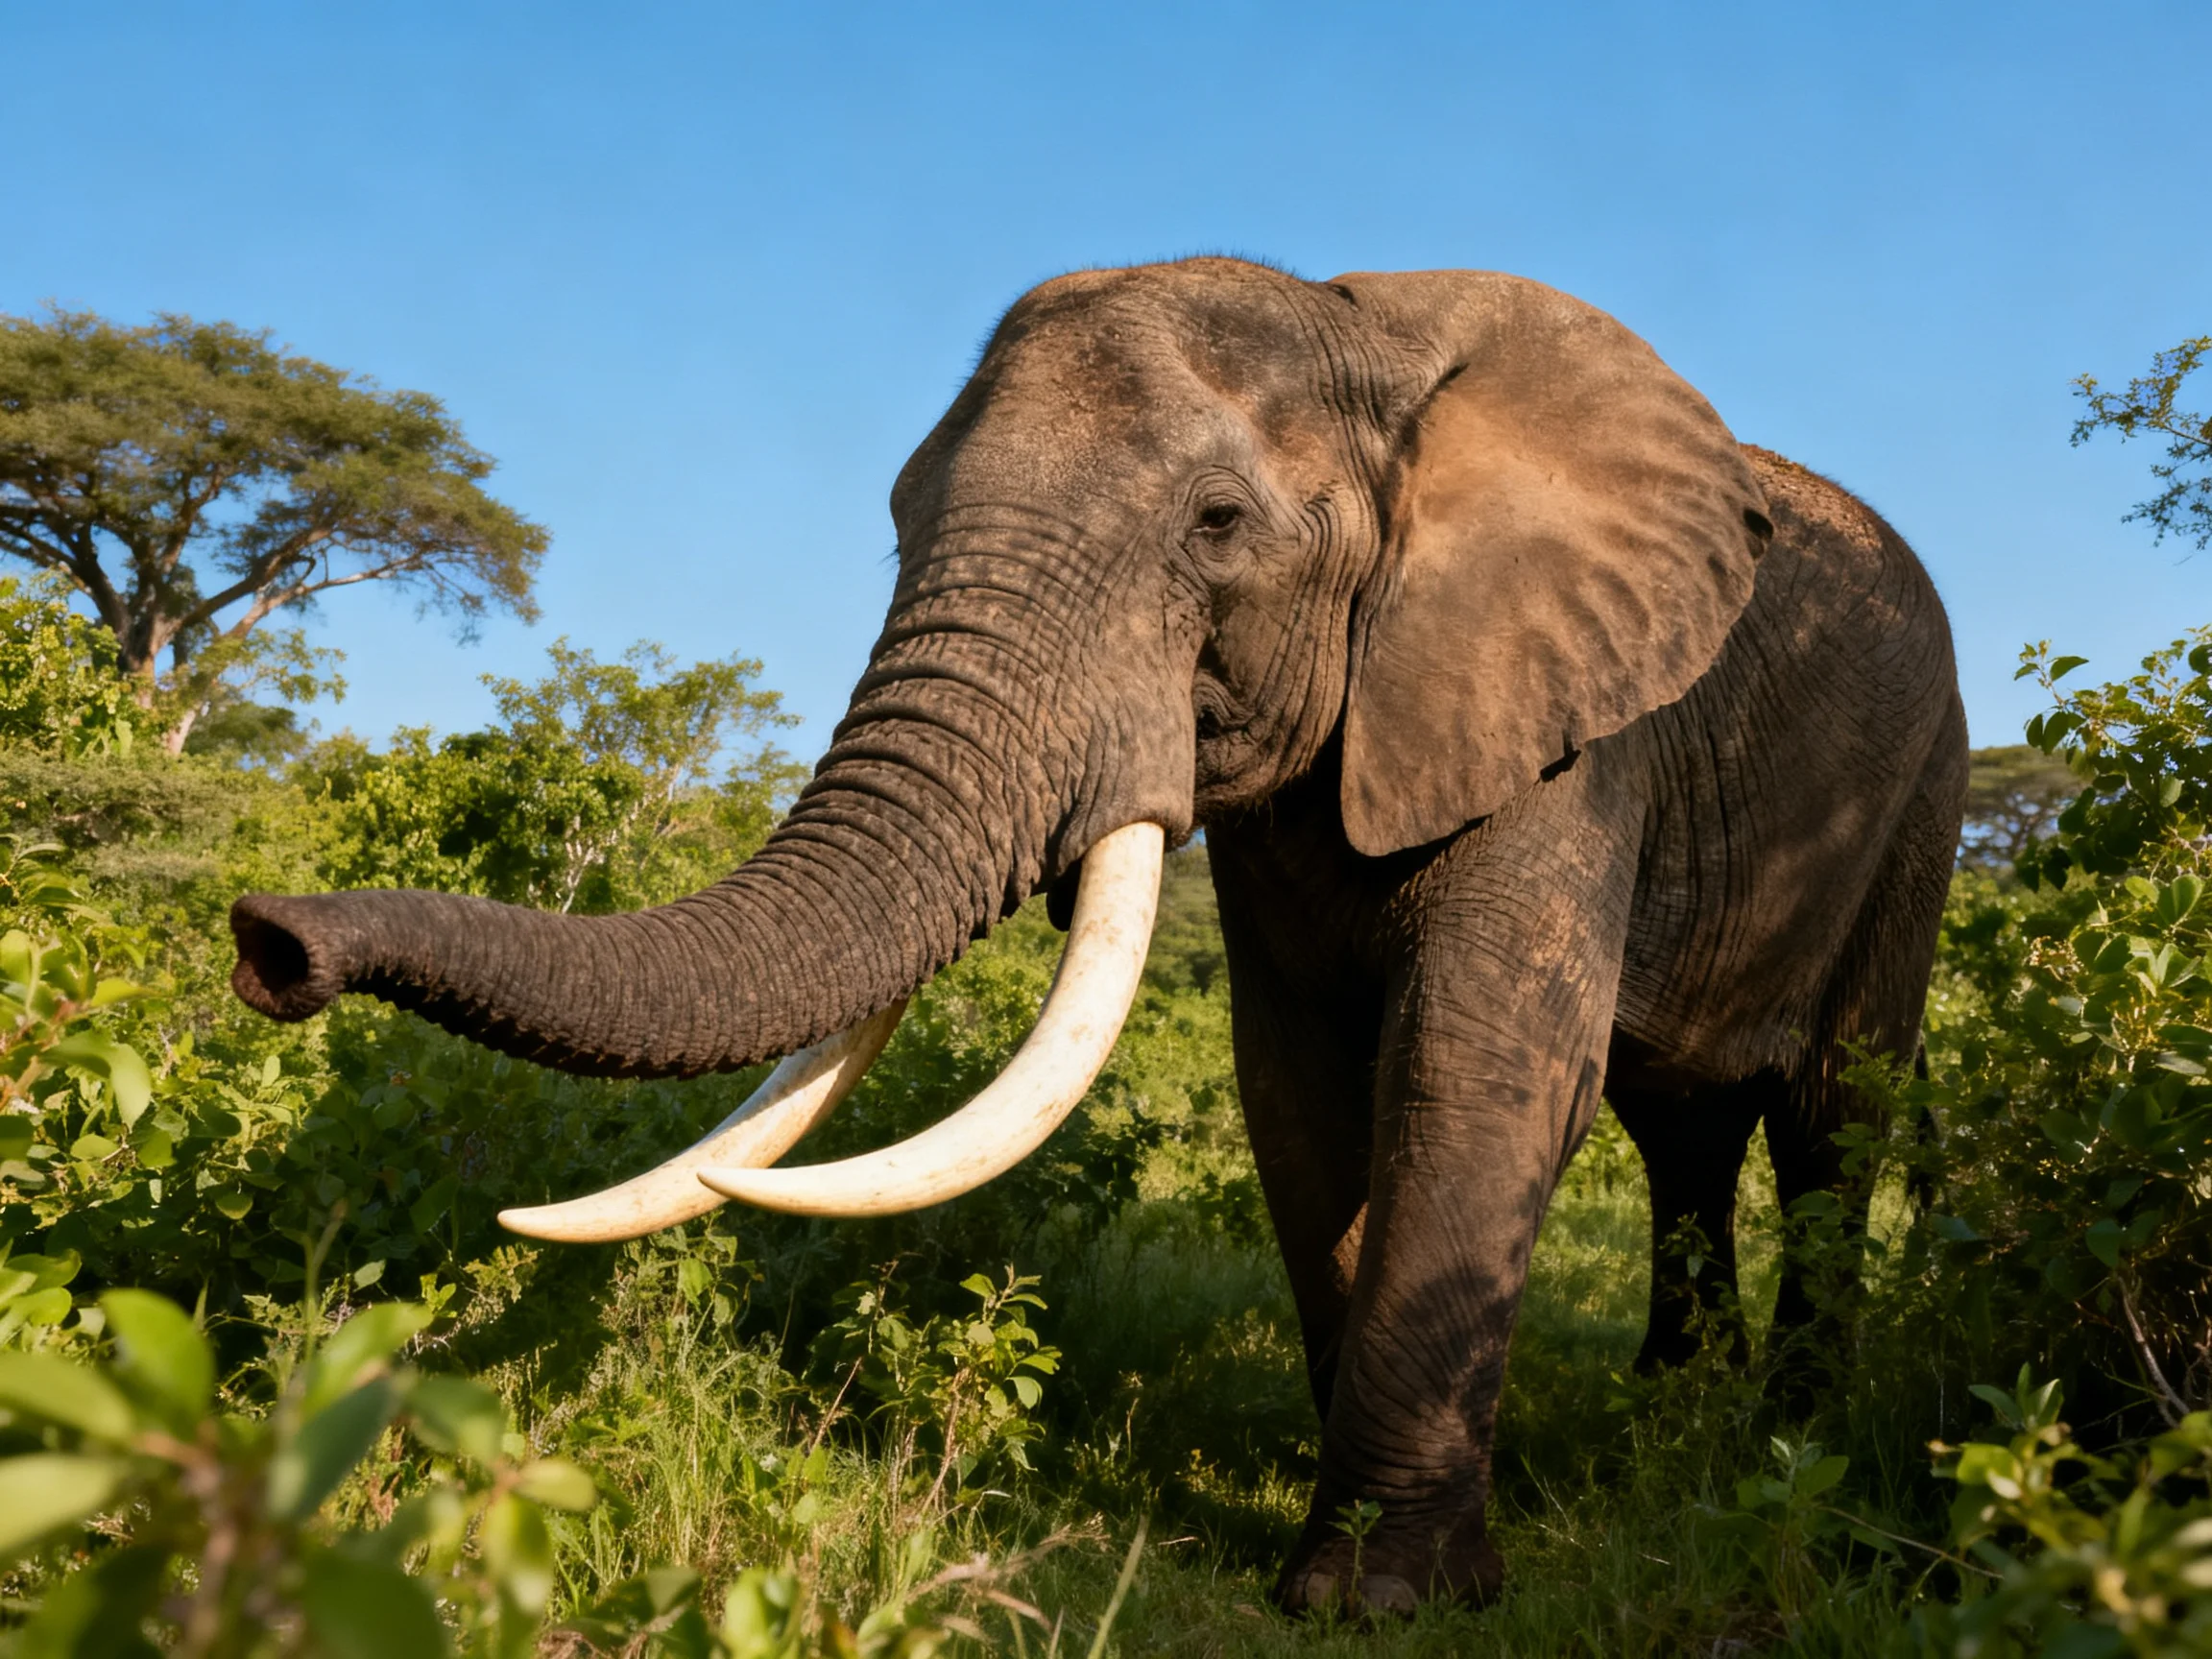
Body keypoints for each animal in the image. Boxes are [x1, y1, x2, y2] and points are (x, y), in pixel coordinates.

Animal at [229, 257, 1967, 1614]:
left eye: (1216, 523)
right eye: (898, 520)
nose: (266, 943)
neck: (1365, 332)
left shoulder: (1562, 722)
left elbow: (1472, 1069)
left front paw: (1380, 1598)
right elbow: (1296, 1092)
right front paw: (1335, 1553)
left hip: (1922, 791)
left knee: (1830, 1115)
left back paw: (1783, 1448)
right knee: (1680, 1133)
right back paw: (1671, 1419)